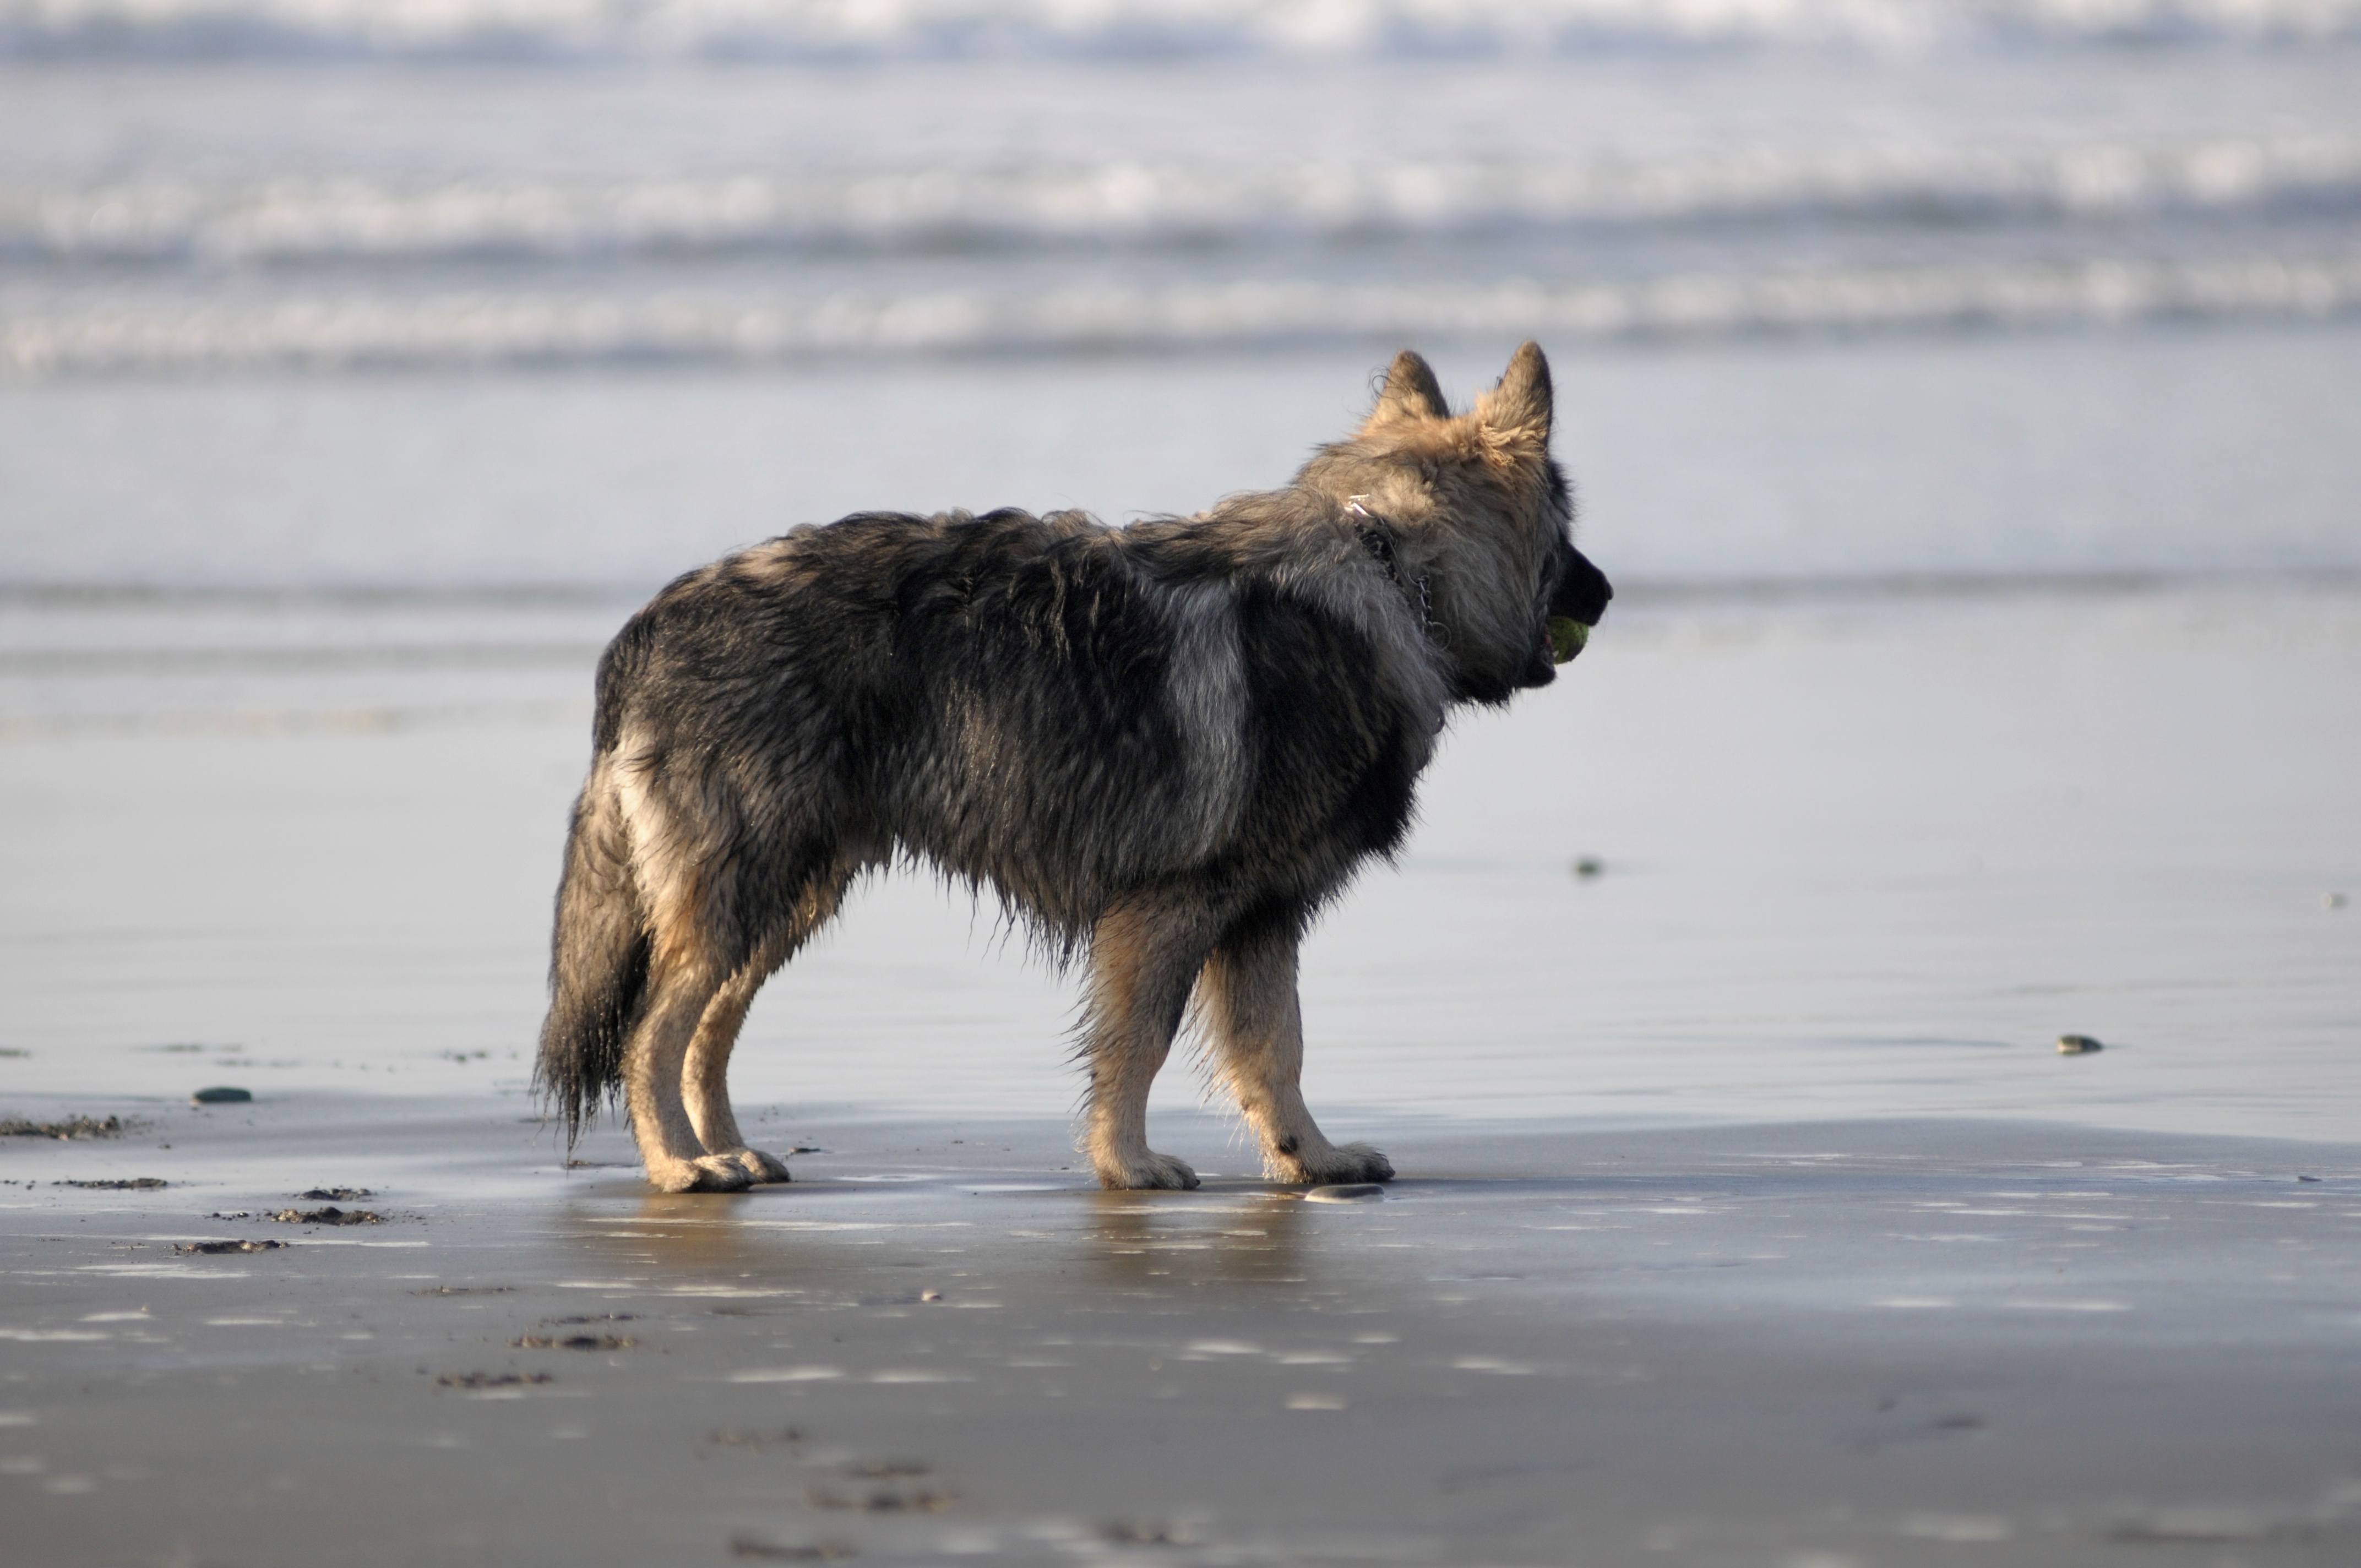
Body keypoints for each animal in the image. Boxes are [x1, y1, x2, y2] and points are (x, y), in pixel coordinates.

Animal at [534, 342, 1605, 1195]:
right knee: (650, 1033)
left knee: (706, 1031)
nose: (1604, 591)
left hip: (785, 897)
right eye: (1566, 536)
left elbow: (1277, 1050)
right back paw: (680, 1166)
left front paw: (1311, 1158)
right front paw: (1128, 1165)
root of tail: (649, 627)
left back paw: (727, 1150)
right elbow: (1141, 1045)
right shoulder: (1175, 907)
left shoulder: (1261, 917)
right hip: (742, 889)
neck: (1389, 563)